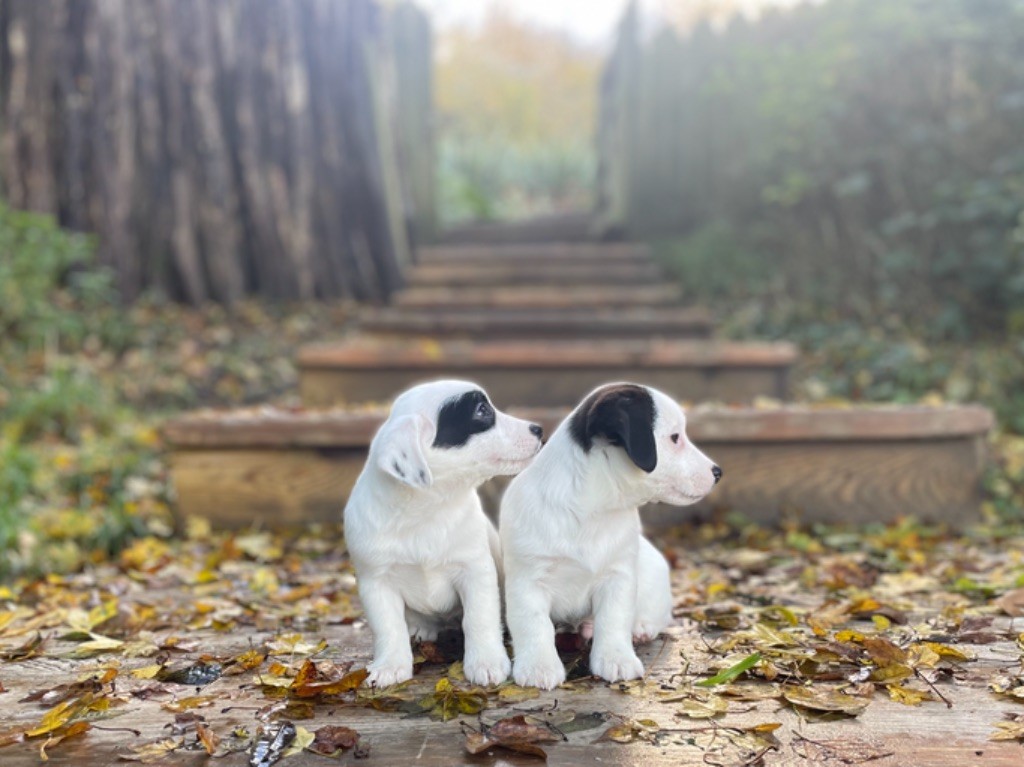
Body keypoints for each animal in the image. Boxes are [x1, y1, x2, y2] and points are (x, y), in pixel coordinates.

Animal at [344, 380, 544, 684]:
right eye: (482, 410)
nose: (539, 429)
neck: (429, 509)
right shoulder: (376, 582)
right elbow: (388, 627)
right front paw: (390, 665)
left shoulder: (475, 570)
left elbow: (479, 618)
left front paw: (486, 661)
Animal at [499, 382, 724, 688]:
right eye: (675, 438)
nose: (718, 472)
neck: (593, 507)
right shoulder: (527, 582)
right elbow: (534, 624)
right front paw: (538, 665)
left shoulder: (619, 577)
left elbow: (614, 620)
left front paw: (616, 658)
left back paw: (637, 628)